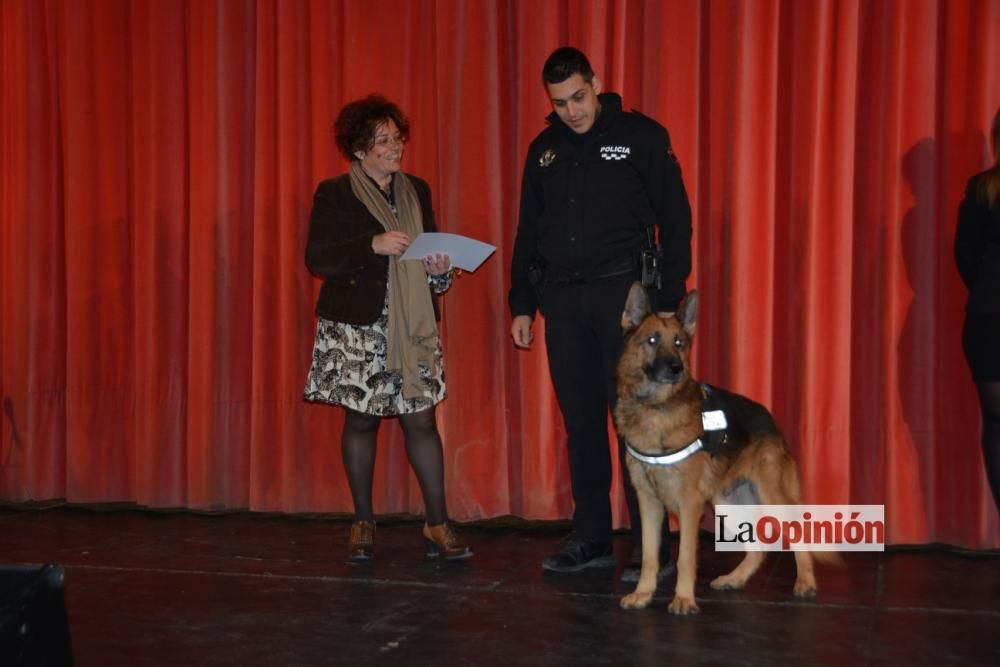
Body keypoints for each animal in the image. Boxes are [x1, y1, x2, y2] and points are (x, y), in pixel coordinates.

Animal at [612, 284, 840, 620]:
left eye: (679, 343)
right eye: (652, 340)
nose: (677, 369)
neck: (656, 407)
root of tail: (769, 418)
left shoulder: (690, 504)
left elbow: (685, 557)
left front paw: (683, 599)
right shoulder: (648, 503)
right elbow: (651, 556)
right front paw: (643, 593)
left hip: (771, 498)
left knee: (798, 533)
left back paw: (806, 582)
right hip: (727, 504)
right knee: (759, 547)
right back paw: (735, 579)